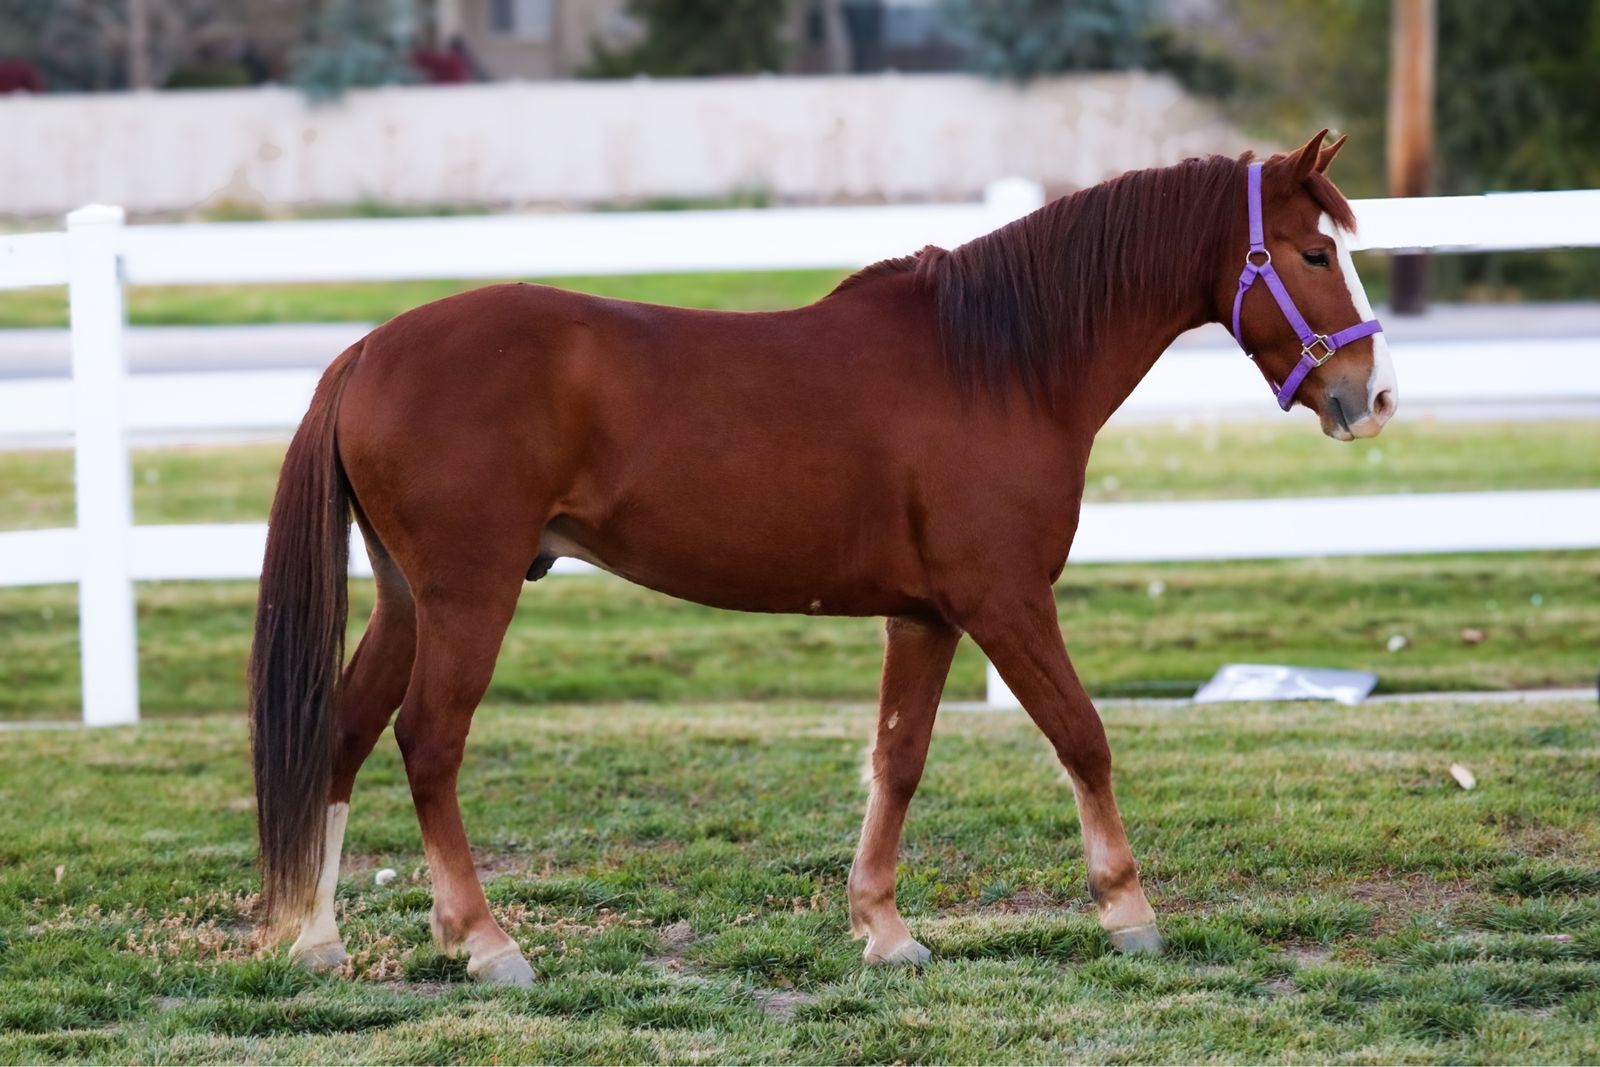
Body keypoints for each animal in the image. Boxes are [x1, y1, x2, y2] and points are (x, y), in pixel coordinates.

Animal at [250, 130, 1397, 985]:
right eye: (1311, 253)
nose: (1371, 396)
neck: (997, 367)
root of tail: (369, 349)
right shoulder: (1006, 599)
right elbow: (1084, 735)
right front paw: (1128, 911)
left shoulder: (926, 613)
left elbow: (899, 759)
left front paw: (883, 926)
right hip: (469, 595)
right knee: (428, 740)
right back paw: (486, 943)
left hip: (408, 601)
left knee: (343, 732)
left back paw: (319, 937)